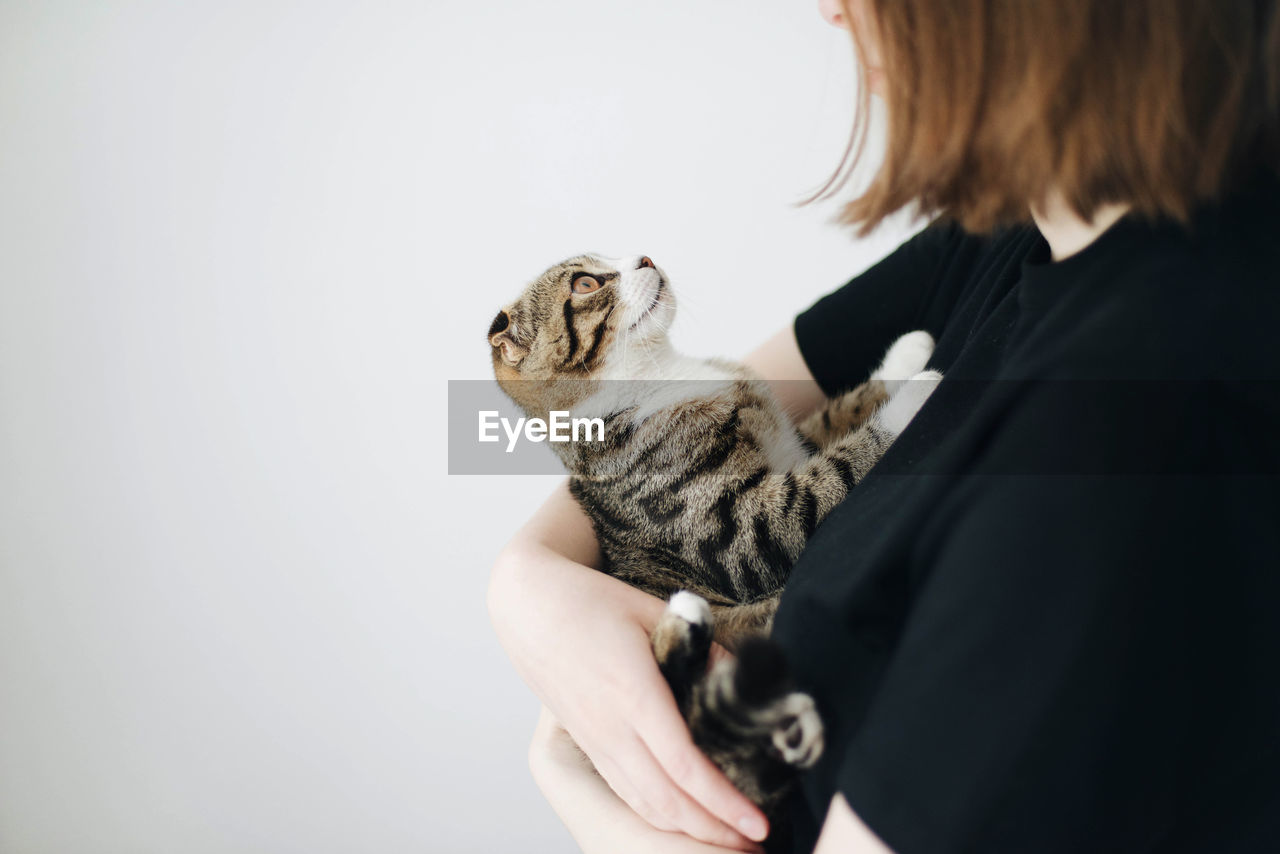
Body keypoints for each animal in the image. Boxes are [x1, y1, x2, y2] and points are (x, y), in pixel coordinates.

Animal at [488, 256, 942, 819]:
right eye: (587, 283)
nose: (644, 257)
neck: (663, 375)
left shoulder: (792, 446)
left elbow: (833, 419)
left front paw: (907, 353)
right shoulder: (748, 529)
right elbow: (829, 477)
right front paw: (917, 393)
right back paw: (689, 632)